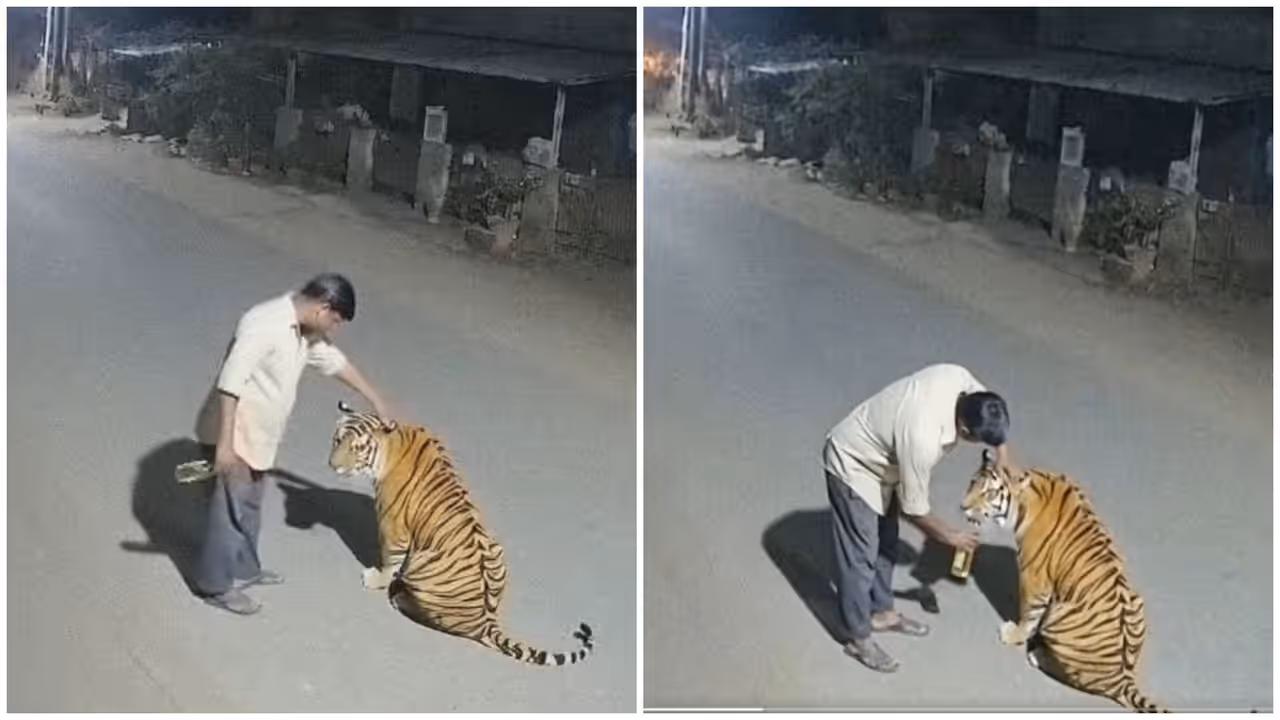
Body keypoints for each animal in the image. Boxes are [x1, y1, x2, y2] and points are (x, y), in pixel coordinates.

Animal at [328, 401, 594, 667]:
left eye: (357, 448)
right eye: (337, 440)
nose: (333, 465)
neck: (393, 441)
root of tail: (486, 622)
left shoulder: (392, 527)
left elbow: (388, 562)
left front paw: (373, 579)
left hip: (420, 561)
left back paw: (399, 598)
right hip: (495, 551)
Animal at [961, 449, 1166, 713]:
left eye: (989, 493)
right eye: (972, 483)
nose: (962, 507)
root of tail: (1122, 679)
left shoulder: (1033, 579)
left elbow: (1028, 616)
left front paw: (1012, 635)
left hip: (1057, 617)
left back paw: (1037, 655)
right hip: (1136, 602)